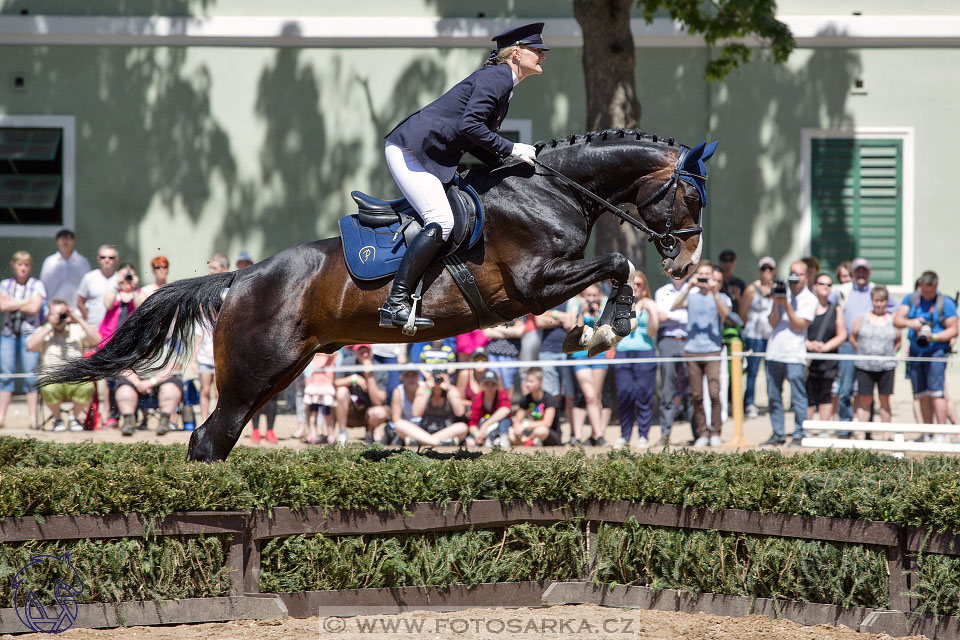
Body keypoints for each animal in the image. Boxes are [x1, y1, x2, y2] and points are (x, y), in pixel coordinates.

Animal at [41, 129, 716, 460]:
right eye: (690, 196)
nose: (689, 265)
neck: (553, 191)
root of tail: (237, 279)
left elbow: (614, 266)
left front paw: (597, 325)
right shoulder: (531, 286)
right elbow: (617, 262)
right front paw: (604, 324)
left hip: (282, 372)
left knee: (218, 437)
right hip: (253, 371)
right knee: (210, 438)